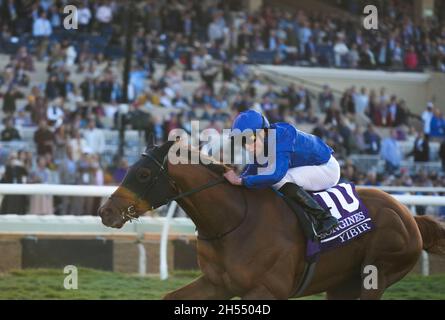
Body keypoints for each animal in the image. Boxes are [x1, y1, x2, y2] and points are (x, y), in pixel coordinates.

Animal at [99, 141, 444, 298]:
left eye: (143, 174)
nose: (106, 211)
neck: (232, 223)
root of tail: (408, 215)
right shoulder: (217, 284)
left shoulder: (266, 291)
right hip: (343, 284)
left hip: (378, 273)